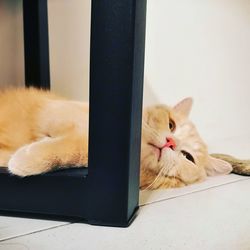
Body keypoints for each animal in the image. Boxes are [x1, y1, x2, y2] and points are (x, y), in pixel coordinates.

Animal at [0, 87, 232, 188]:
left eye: (187, 157)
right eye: (172, 125)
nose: (170, 142)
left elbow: (78, 149)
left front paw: (22, 158)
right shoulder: (54, 109)